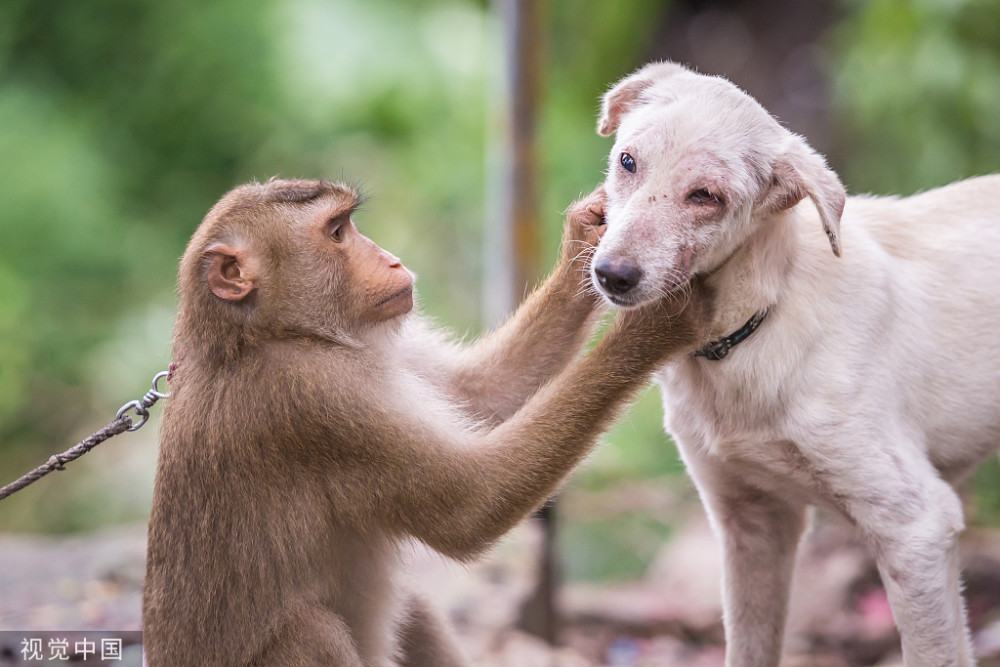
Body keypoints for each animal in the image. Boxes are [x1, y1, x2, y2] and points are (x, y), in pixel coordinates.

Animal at [143, 179, 712, 667]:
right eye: (336, 233)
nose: (391, 259)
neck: (262, 334)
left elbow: (479, 394)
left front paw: (587, 234)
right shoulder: (312, 397)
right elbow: (470, 504)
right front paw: (656, 327)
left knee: (412, 610)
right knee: (311, 631)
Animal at [584, 60, 1000, 664]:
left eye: (705, 195)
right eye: (628, 162)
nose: (612, 276)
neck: (755, 328)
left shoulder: (918, 526)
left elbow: (934, 652)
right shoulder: (752, 526)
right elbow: (748, 648)